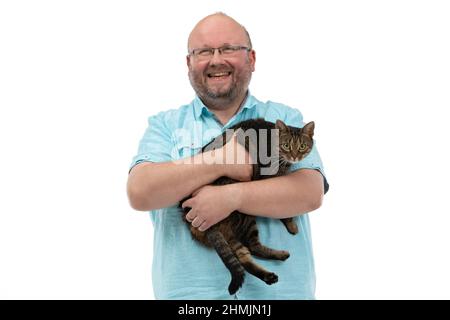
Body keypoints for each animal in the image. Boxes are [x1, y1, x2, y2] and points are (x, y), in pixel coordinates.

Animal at [178, 118, 312, 296]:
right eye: (286, 145)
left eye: (302, 146)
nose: (295, 156)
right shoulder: (269, 180)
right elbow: (284, 213)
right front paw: (292, 225)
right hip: (245, 217)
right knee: (253, 247)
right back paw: (280, 256)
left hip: (231, 235)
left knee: (243, 258)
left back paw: (269, 275)